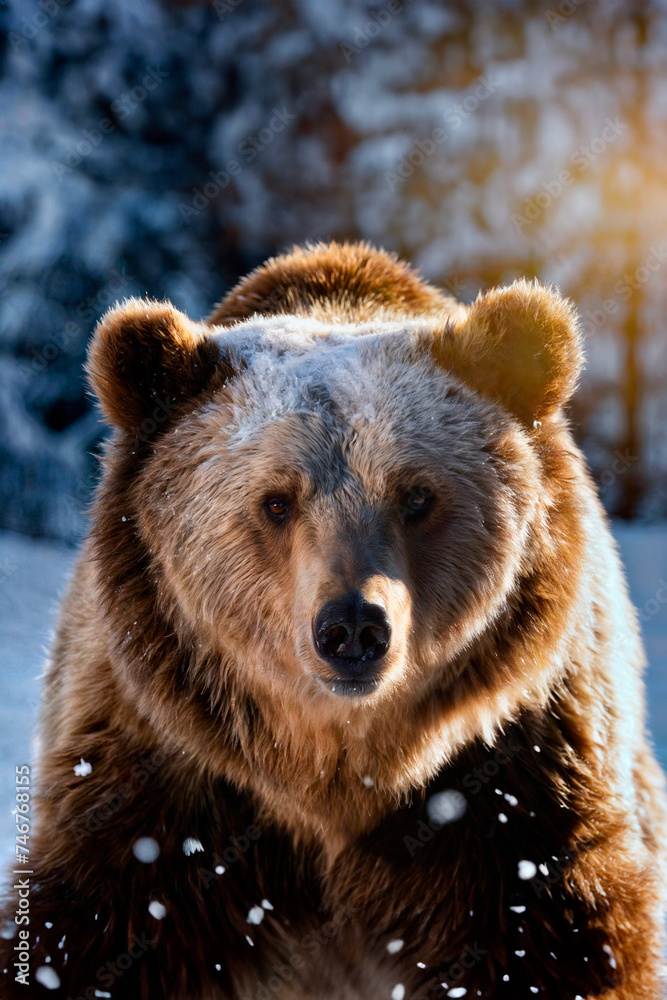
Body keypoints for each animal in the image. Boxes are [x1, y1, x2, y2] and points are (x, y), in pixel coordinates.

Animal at [1, 244, 667, 1000]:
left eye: (416, 495)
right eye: (276, 501)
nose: (353, 626)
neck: (334, 776)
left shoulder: (514, 789)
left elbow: (556, 943)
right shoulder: (167, 787)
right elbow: (94, 931)